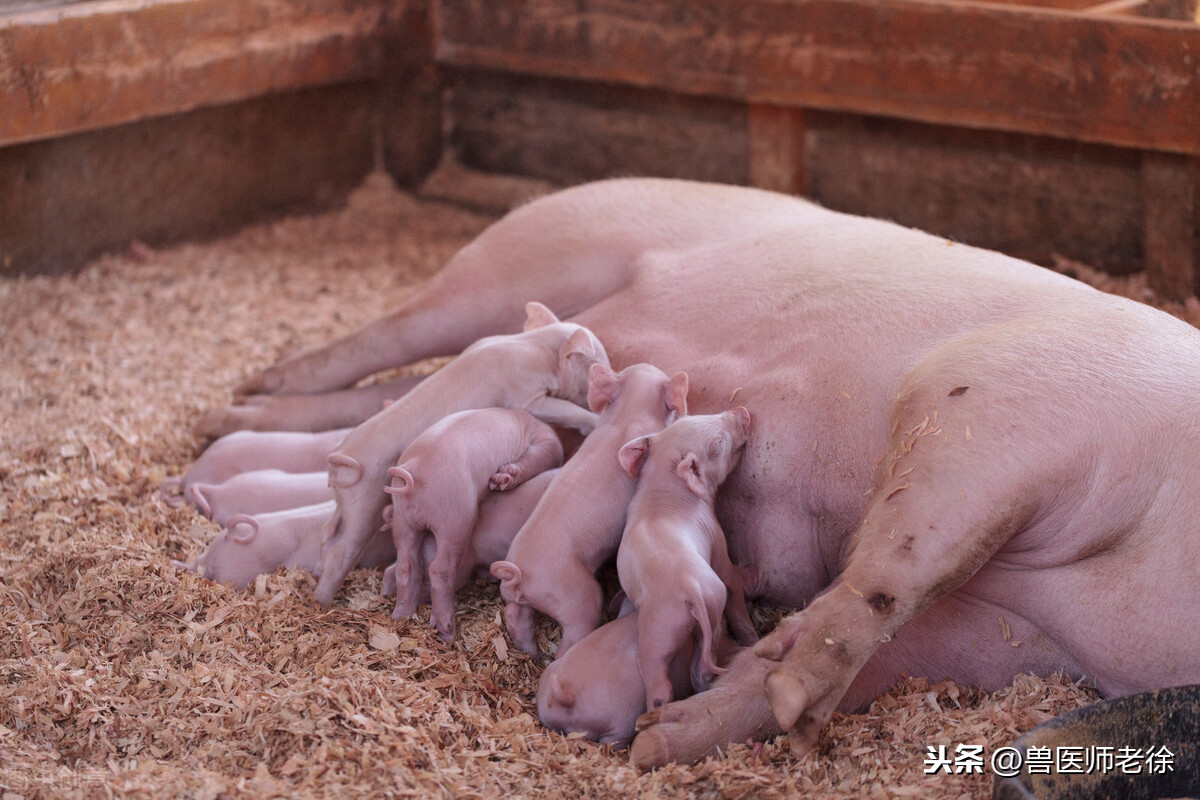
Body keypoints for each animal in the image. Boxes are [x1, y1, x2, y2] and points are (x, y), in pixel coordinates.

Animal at [199, 176, 1200, 767]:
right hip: (523, 257)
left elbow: (876, 640)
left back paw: (236, 418)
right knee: (384, 338)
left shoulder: (1007, 637)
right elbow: (895, 568)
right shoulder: (997, 404)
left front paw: (676, 736)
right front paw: (769, 700)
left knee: (396, 395)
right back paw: (243, 393)